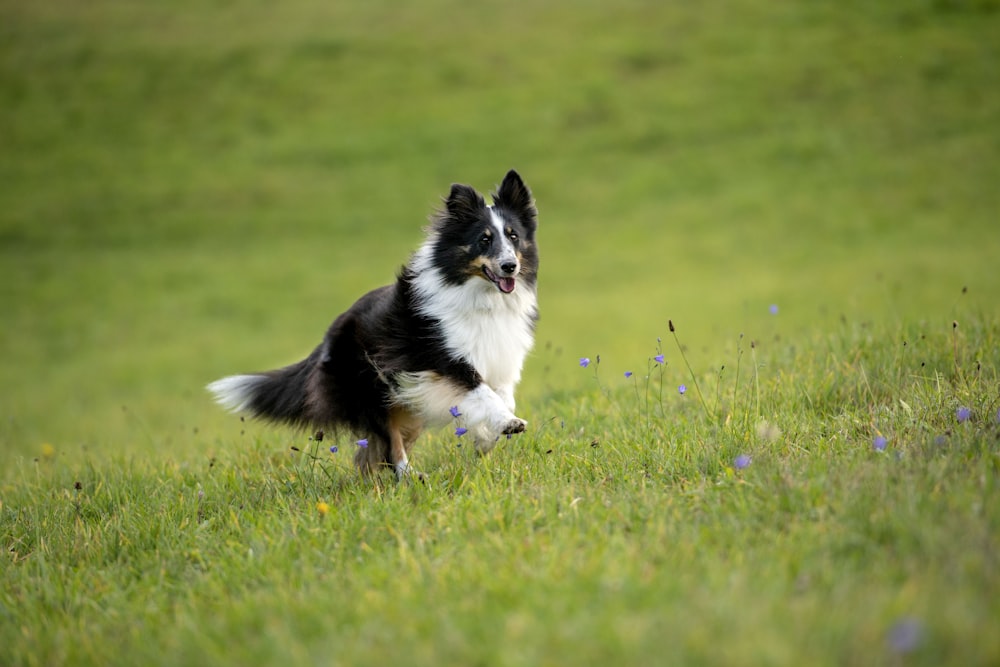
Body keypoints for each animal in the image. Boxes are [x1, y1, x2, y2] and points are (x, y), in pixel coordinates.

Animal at [207, 170, 540, 478]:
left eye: (513, 235)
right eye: (484, 239)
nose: (510, 266)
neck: (481, 296)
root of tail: (327, 337)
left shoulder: (497, 356)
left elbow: (500, 396)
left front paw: (486, 438)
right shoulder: (440, 358)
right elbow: (481, 392)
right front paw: (509, 424)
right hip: (374, 392)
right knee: (389, 445)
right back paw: (410, 476)